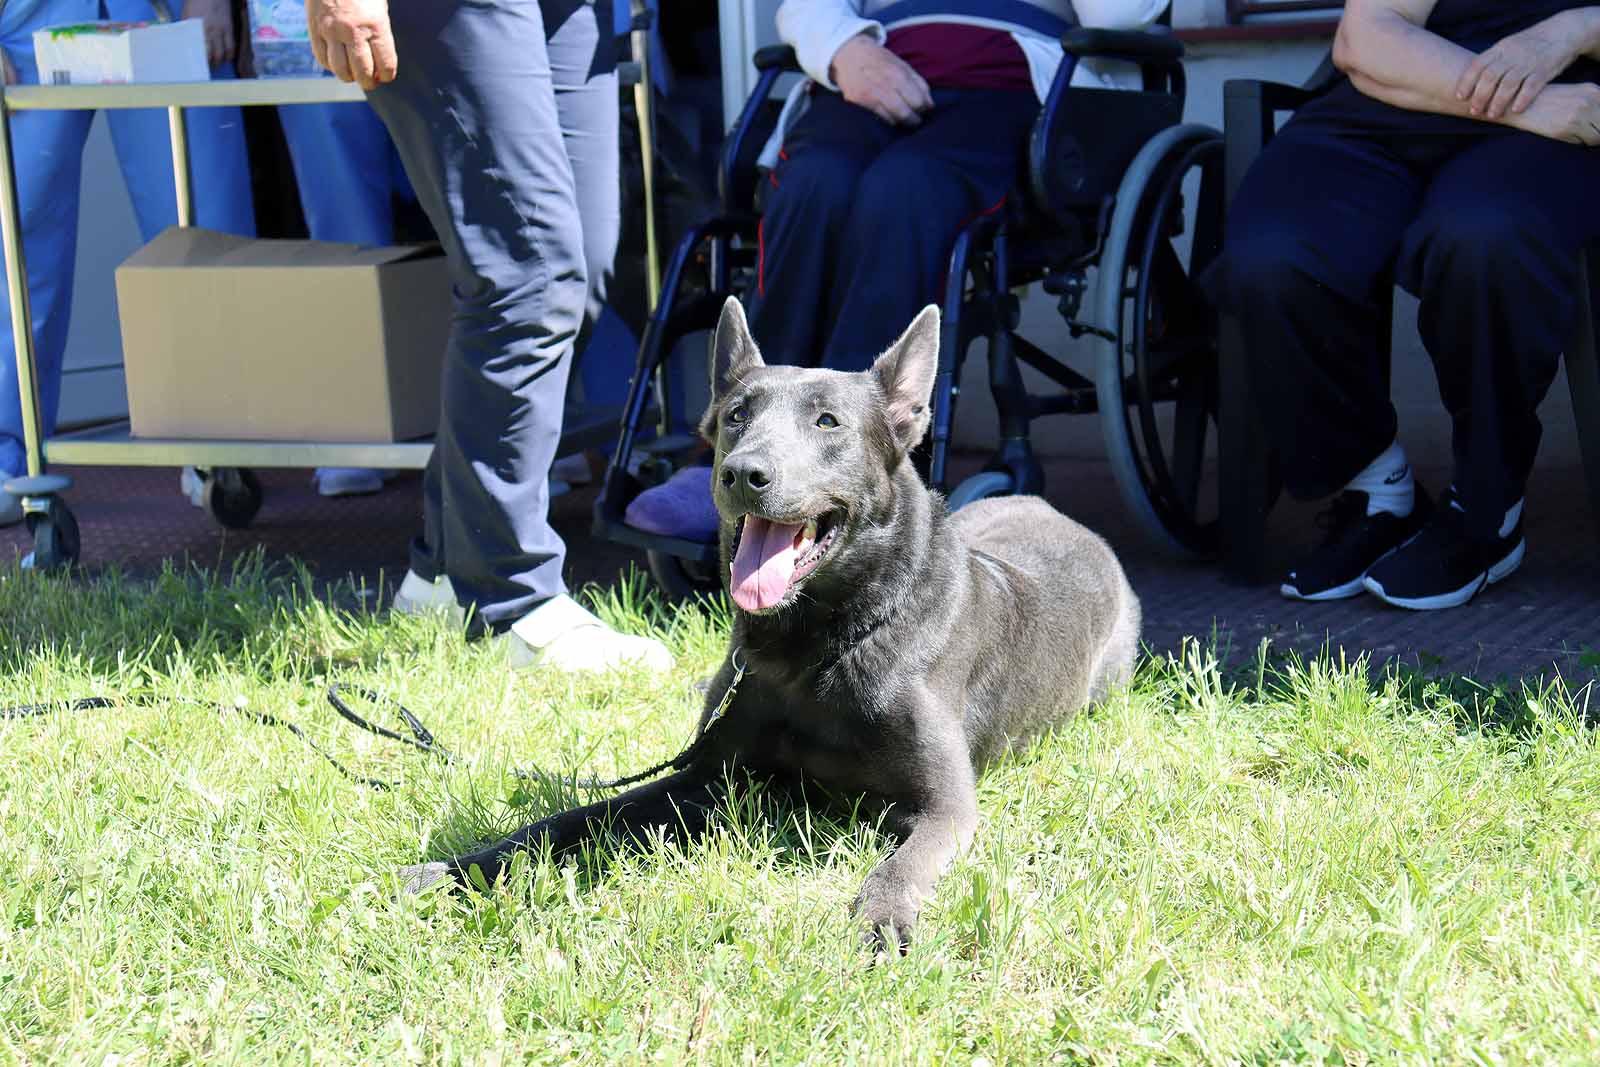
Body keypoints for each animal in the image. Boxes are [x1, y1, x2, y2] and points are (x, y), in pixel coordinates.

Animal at [406, 299, 1145, 953]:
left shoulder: (944, 809)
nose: (744, 473)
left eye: (828, 422)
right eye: (737, 416)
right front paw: (461, 866)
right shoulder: (705, 775)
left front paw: (881, 921)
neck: (813, 645)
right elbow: (572, 819)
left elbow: (900, 865)